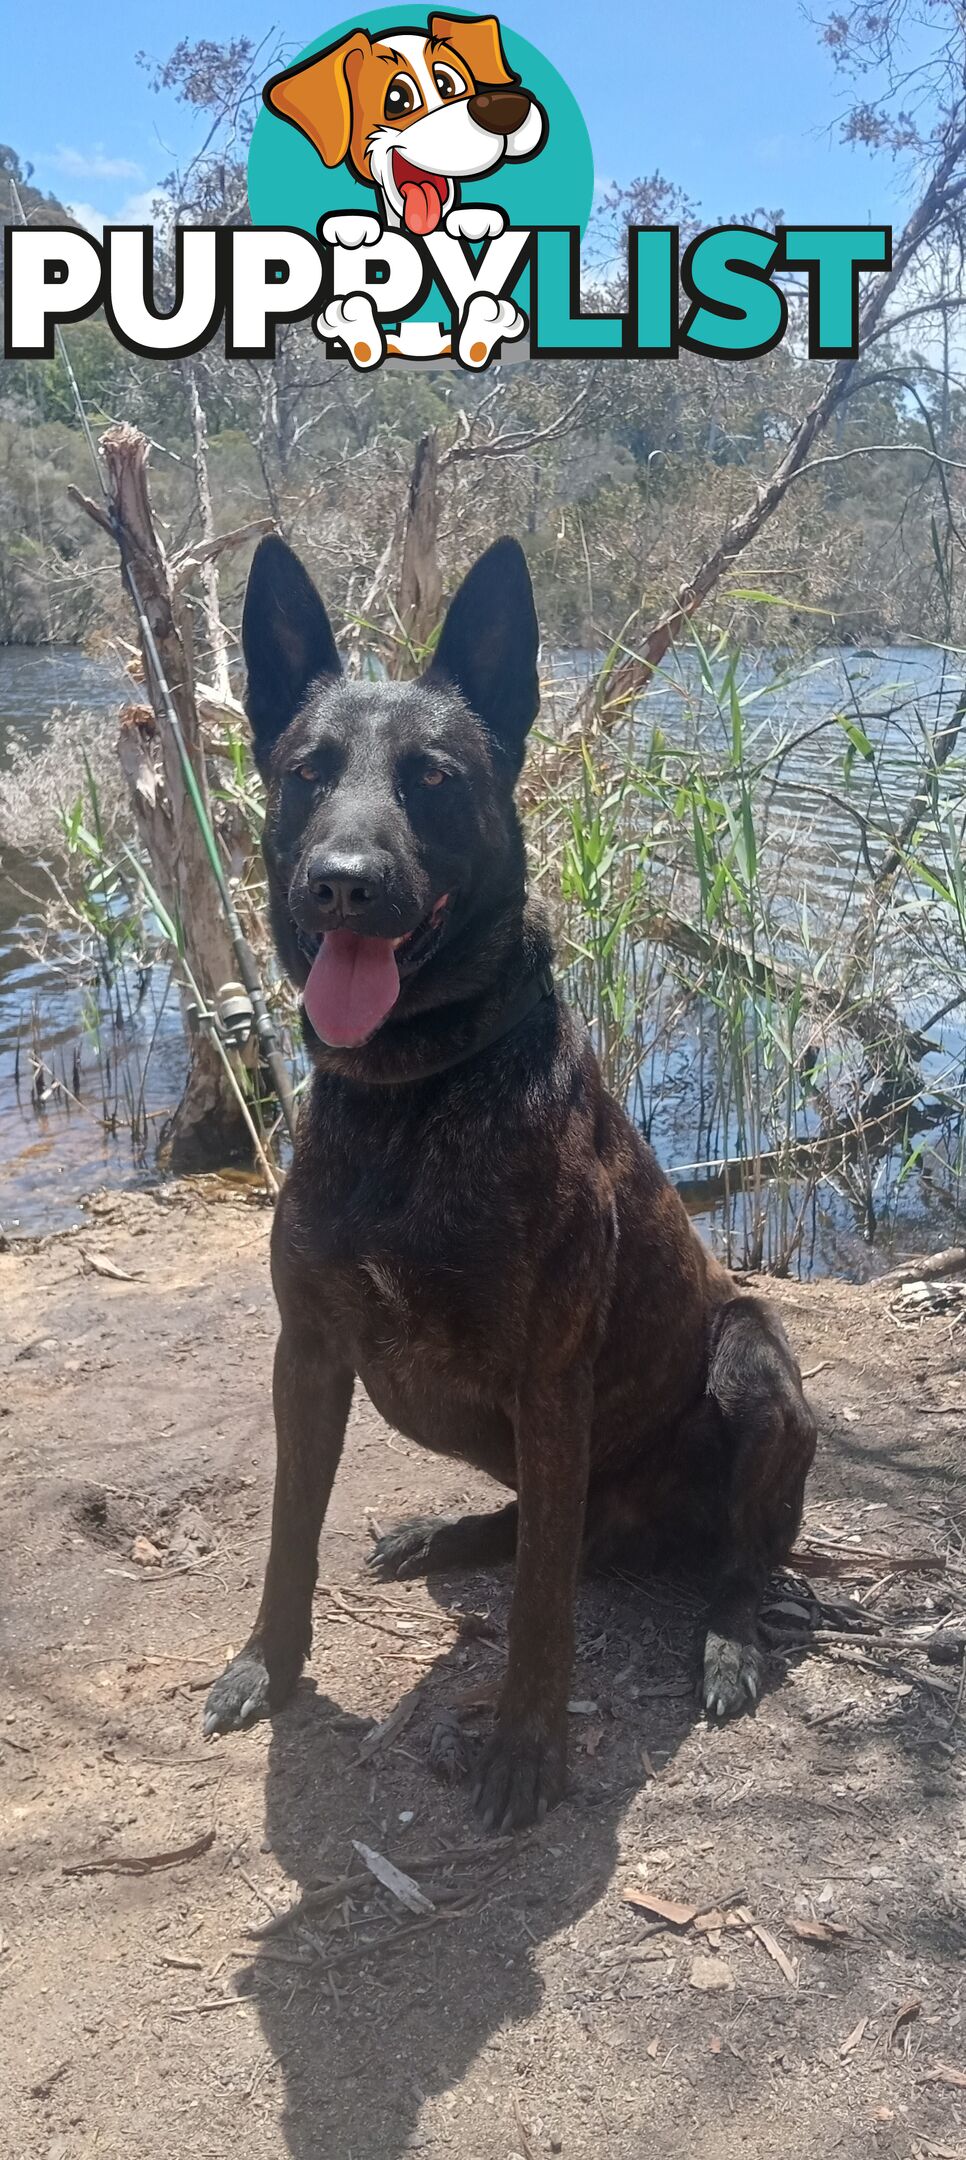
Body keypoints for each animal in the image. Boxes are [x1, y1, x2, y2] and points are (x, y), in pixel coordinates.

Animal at [204, 531, 816, 1831]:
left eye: (432, 778)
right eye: (304, 772)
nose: (340, 881)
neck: (411, 1090)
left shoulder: (550, 1379)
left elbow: (541, 1606)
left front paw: (528, 1745)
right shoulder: (308, 1355)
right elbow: (288, 1534)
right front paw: (265, 1665)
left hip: (753, 1363)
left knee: (726, 1561)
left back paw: (728, 1644)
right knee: (541, 1527)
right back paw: (445, 1538)